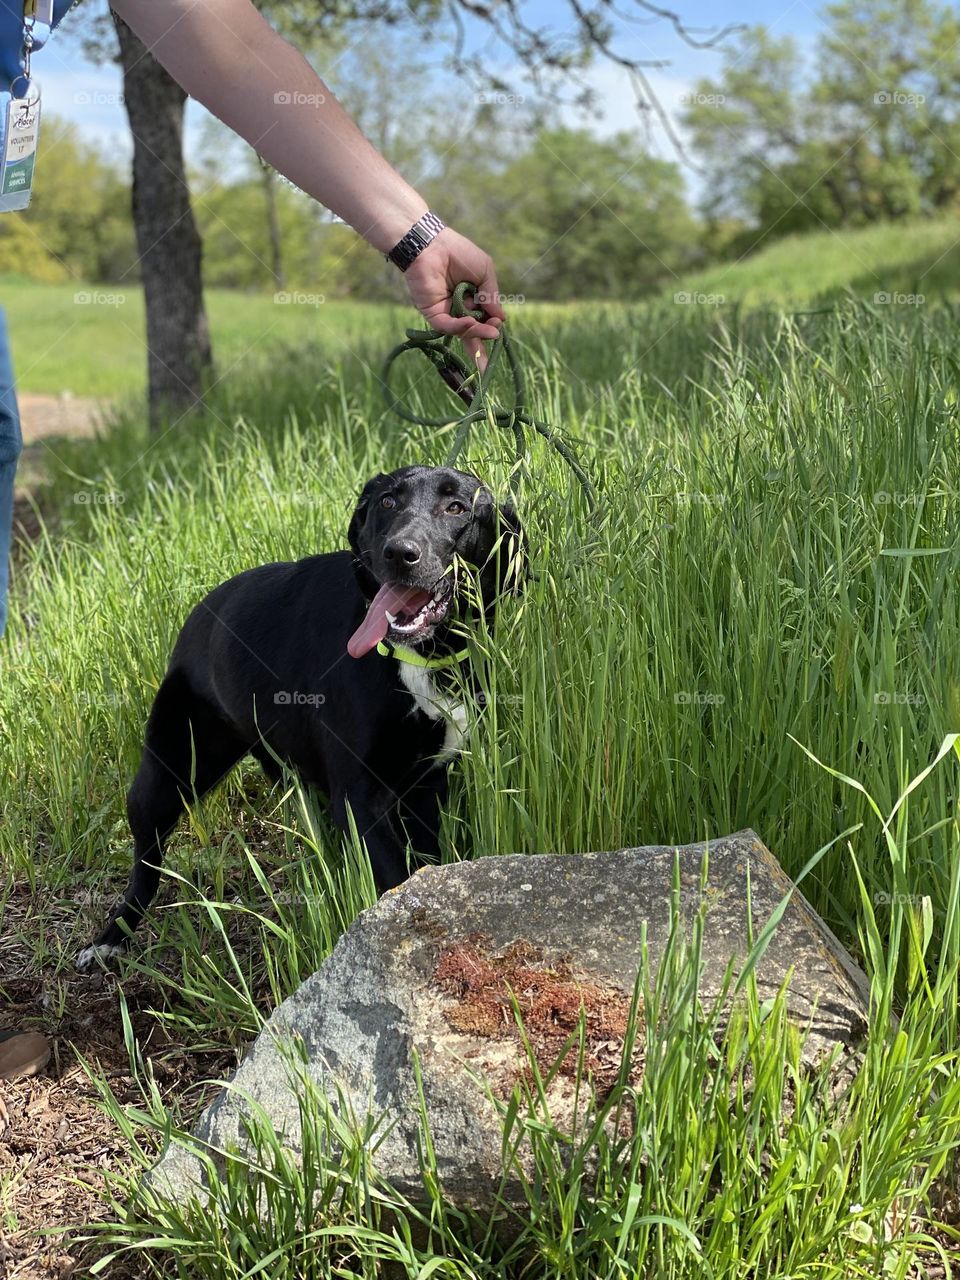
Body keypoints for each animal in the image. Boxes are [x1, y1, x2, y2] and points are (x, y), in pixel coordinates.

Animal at [78, 465, 522, 962]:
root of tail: (198, 614)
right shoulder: (360, 797)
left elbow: (425, 867)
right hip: (168, 772)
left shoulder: (427, 785)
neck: (420, 657)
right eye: (387, 501)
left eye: (457, 507)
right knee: (145, 860)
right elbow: (396, 879)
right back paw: (111, 937)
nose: (400, 553)